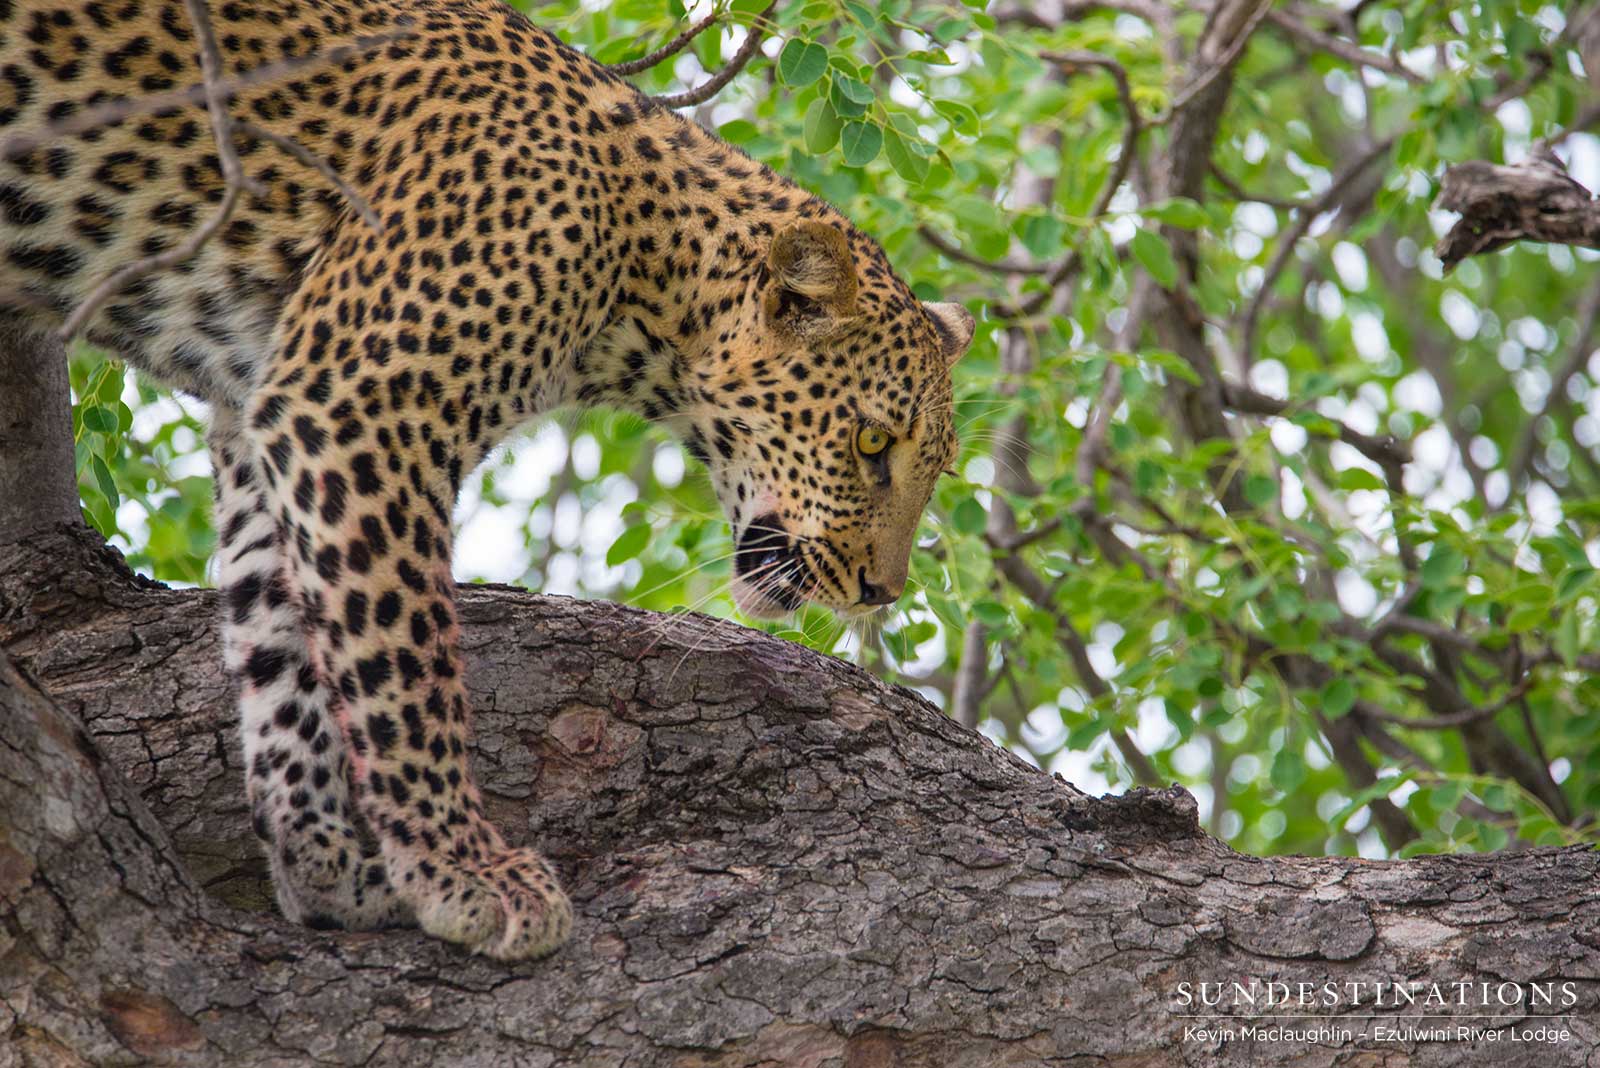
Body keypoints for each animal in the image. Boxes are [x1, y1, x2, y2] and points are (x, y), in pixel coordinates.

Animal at [0, 0, 975, 960]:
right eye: (871, 442)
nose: (882, 591)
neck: (642, 264)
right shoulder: (359, 404)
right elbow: (401, 657)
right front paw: (461, 867)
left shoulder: (265, 409)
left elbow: (278, 645)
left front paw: (326, 864)